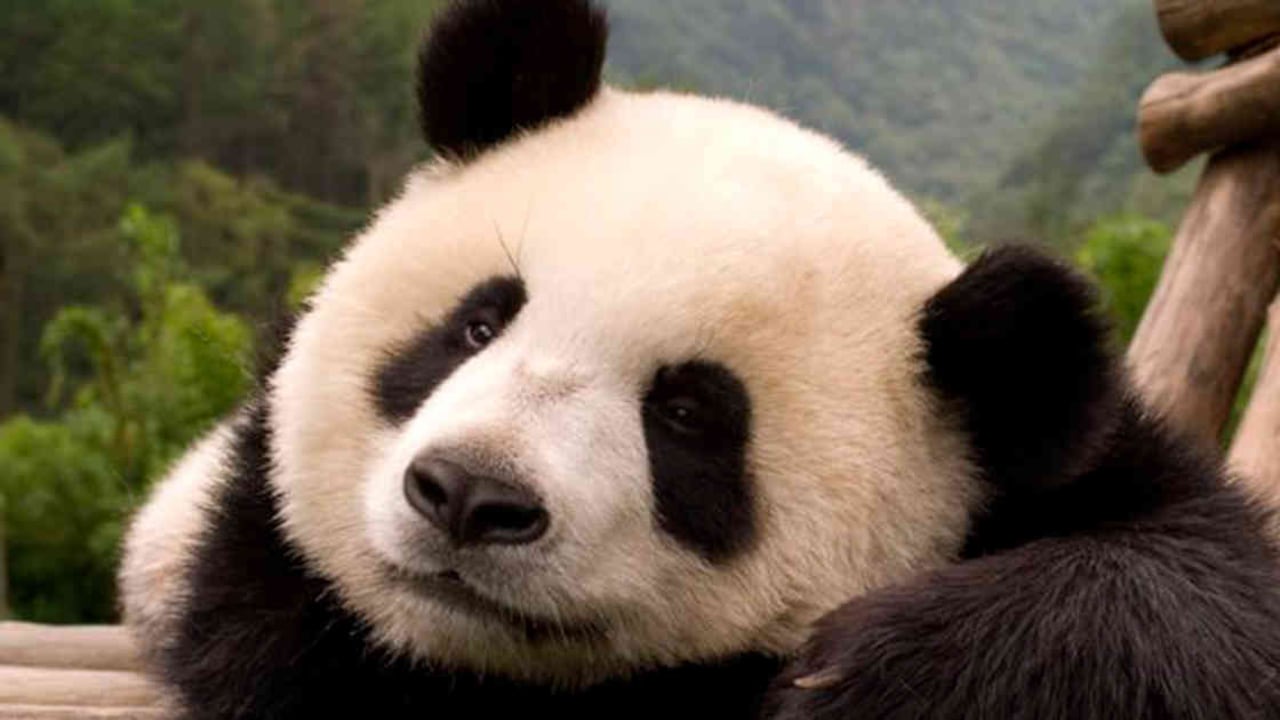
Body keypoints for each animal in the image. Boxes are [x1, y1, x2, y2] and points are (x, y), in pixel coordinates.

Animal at [118, 0, 1280, 718]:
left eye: (686, 416)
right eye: (478, 325)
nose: (469, 496)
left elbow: (1210, 596)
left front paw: (872, 670)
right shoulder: (259, 576)